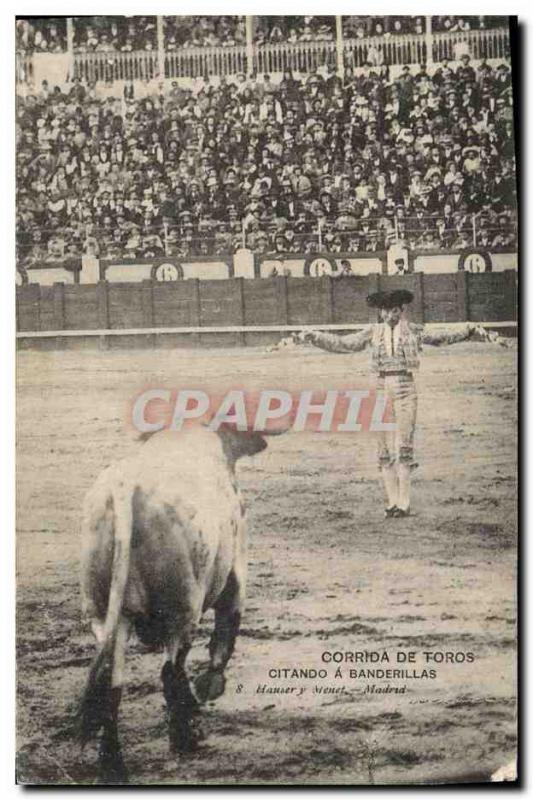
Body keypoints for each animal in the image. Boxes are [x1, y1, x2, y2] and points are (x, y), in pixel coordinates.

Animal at [75, 428, 270, 784]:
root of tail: (125, 486)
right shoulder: (236, 575)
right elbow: (225, 635)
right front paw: (209, 688)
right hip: (183, 610)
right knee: (171, 668)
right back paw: (184, 738)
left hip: (105, 615)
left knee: (112, 681)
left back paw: (113, 766)